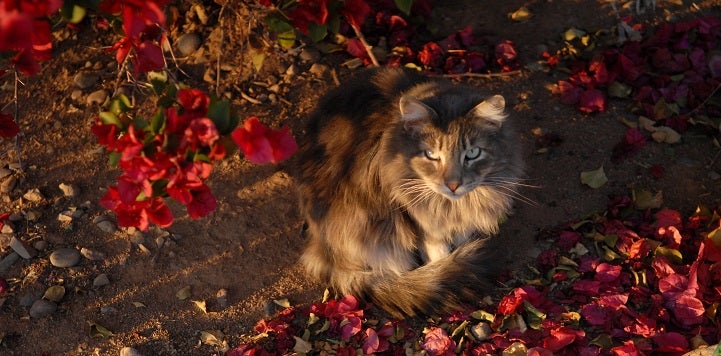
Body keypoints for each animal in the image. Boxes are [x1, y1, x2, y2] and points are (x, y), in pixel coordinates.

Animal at [292, 67, 524, 318]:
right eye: (431, 155)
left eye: (472, 153)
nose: (452, 185)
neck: (452, 206)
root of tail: (319, 248)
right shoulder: (423, 225)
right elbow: (440, 256)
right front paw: (447, 268)